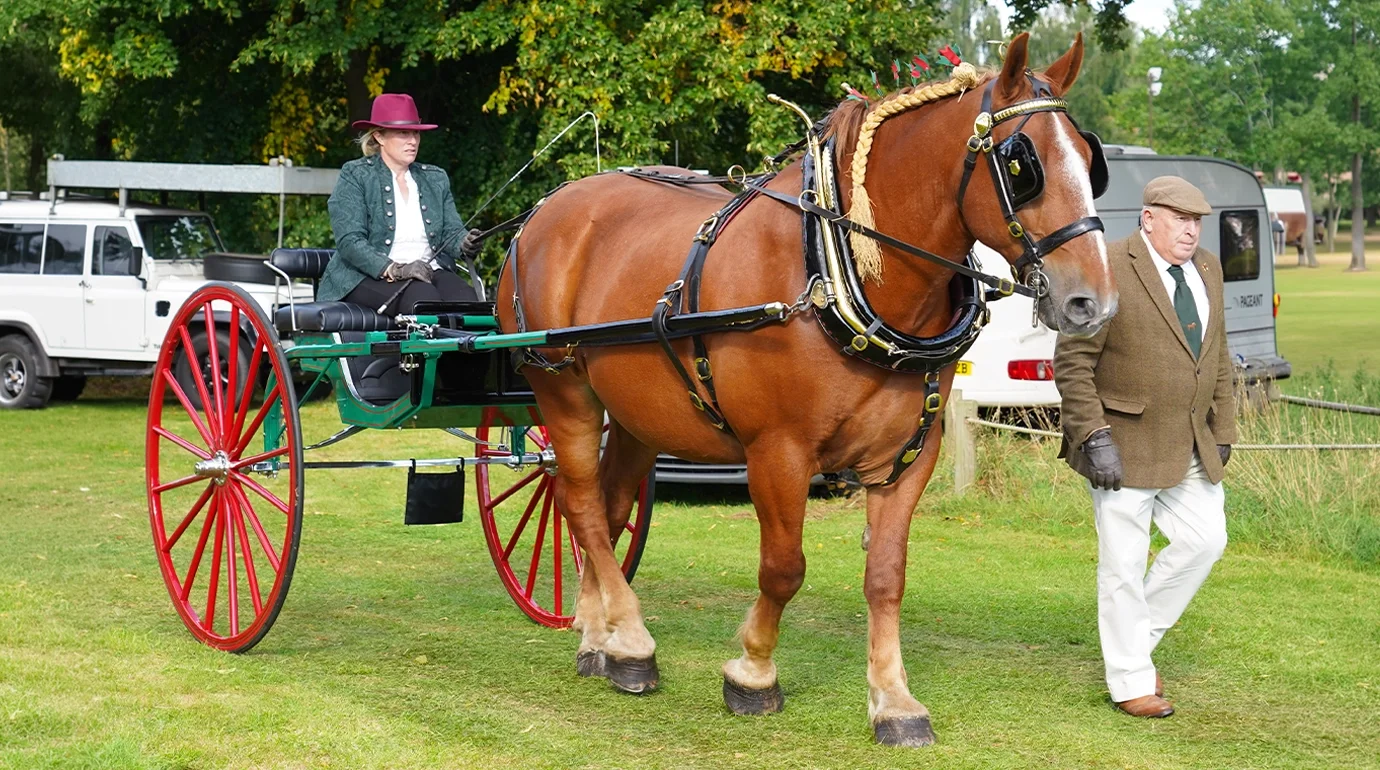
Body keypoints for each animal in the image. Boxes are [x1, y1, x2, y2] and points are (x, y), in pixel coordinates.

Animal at [494, 32, 1117, 746]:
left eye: (1090, 161)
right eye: (1022, 165)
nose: (1092, 302)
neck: (835, 269)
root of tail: (544, 210)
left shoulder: (908, 458)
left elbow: (886, 577)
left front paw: (893, 701)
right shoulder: (779, 452)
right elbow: (784, 567)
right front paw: (752, 673)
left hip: (632, 415)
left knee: (606, 505)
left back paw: (601, 639)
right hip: (563, 391)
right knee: (583, 507)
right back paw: (632, 644)